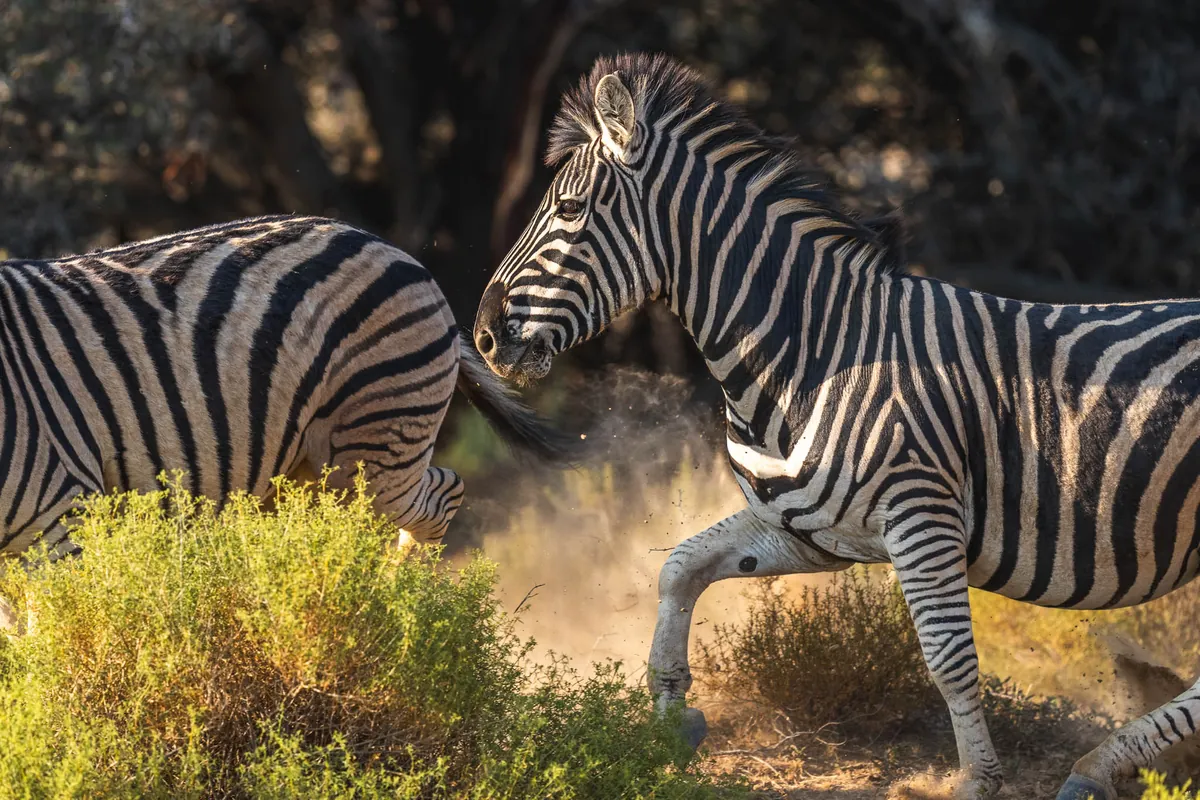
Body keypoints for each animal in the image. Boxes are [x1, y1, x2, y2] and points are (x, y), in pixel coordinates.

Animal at [0, 214, 572, 567]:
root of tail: (385, 244)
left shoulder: (57, 518)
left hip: (372, 454)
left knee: (442, 496)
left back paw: (396, 613)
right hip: (304, 473)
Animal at [473, 52, 1200, 800]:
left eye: (568, 210)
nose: (485, 337)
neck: (815, 352)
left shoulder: (922, 518)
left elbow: (949, 660)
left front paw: (977, 781)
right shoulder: (813, 531)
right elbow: (679, 567)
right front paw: (669, 722)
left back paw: (1102, 763)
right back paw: (1103, 764)